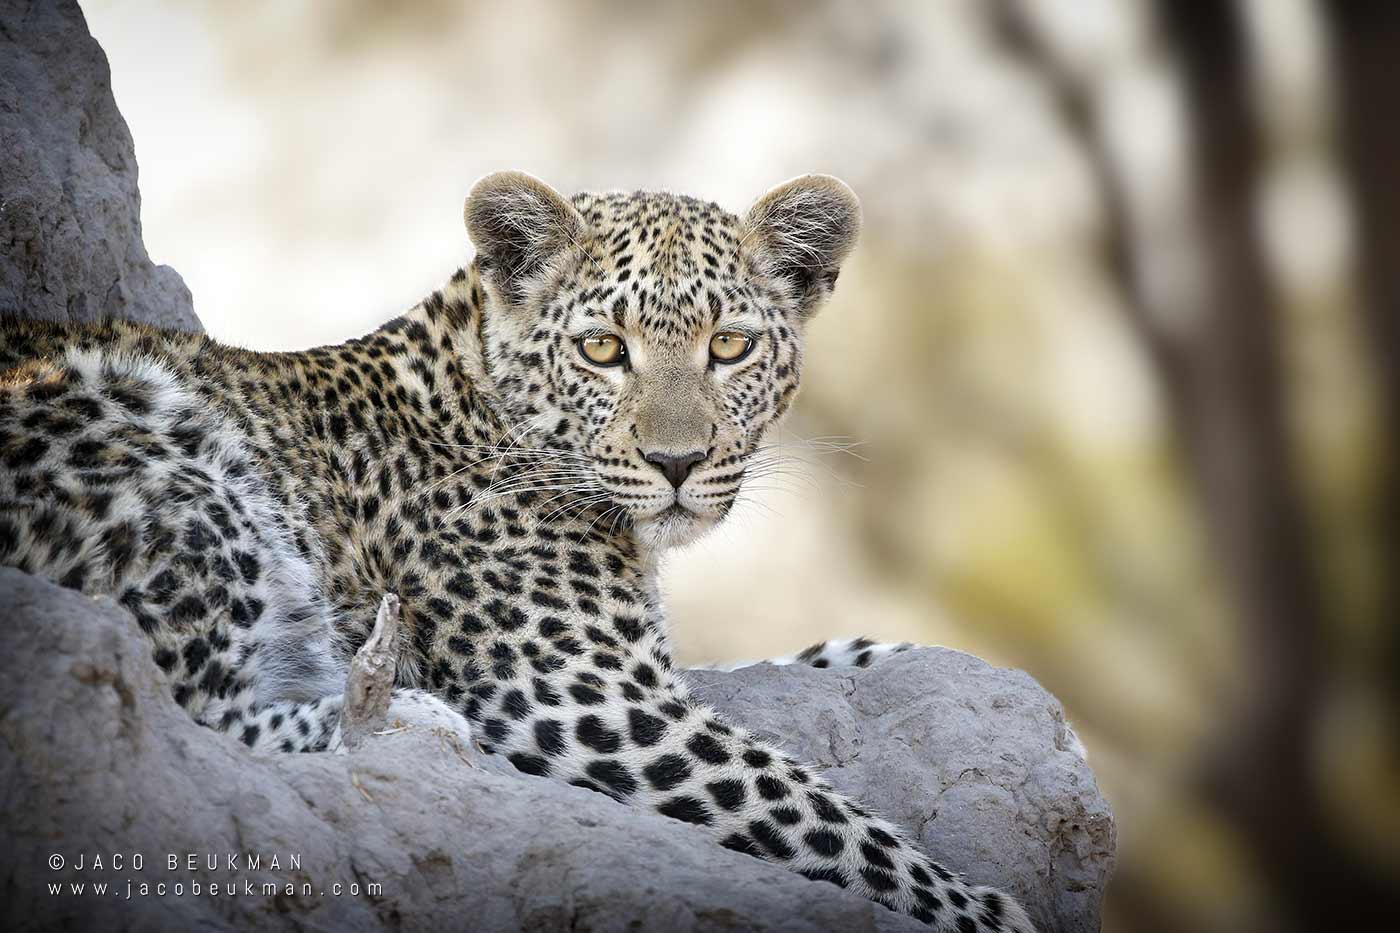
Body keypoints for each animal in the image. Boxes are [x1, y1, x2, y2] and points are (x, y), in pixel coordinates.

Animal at [0, 171, 1036, 932]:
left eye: (731, 347)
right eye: (604, 349)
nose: (676, 462)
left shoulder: (633, 665)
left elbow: (757, 673)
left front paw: (871, 651)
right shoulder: (576, 692)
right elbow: (811, 808)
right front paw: (985, 910)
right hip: (169, 459)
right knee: (187, 707)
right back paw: (405, 716)